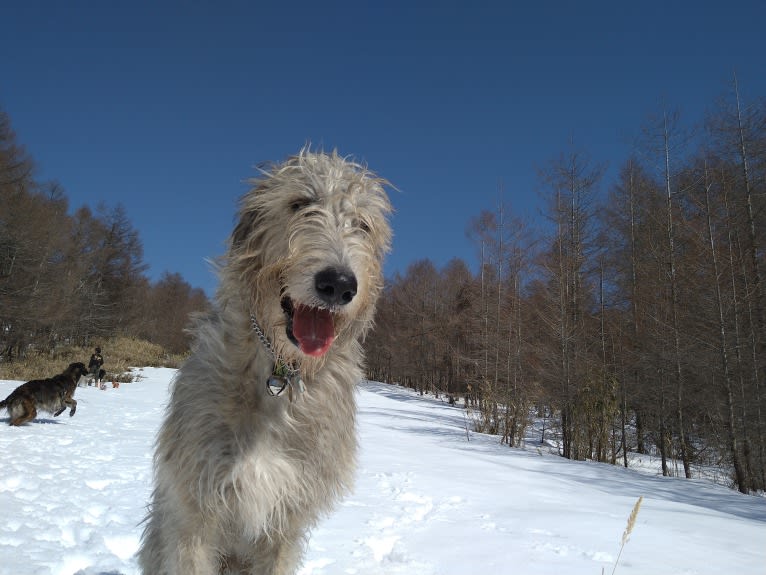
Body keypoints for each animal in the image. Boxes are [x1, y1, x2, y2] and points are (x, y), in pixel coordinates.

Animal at [139, 151, 392, 572]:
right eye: (300, 204)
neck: (280, 375)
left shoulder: (286, 520)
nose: (339, 284)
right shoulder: (193, 512)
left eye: (362, 224)